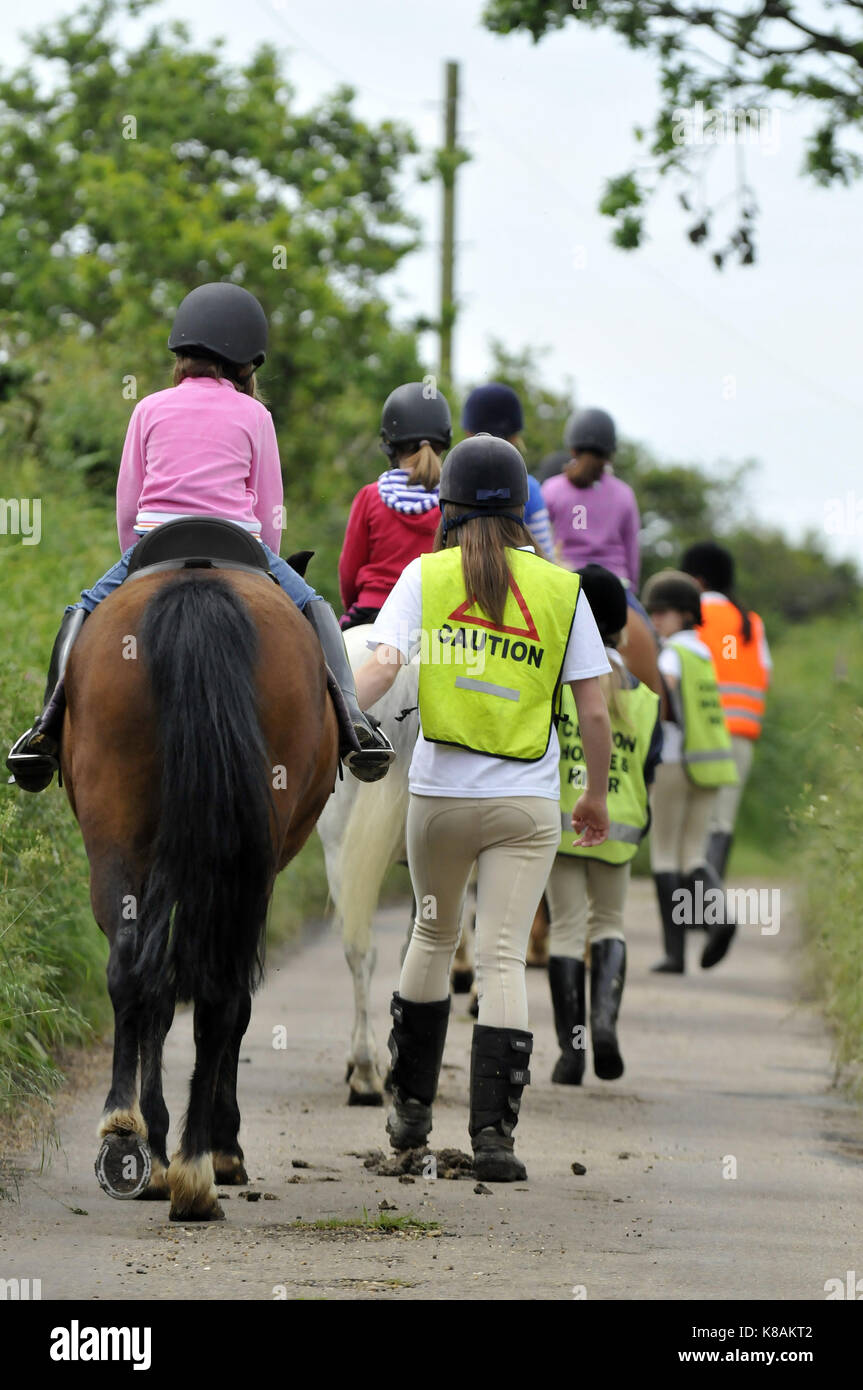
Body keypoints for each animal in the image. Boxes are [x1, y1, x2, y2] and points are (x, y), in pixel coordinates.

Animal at [62, 564, 337, 1217]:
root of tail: (197, 588)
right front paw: (221, 1148)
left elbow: (160, 997)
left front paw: (159, 1142)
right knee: (211, 990)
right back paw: (190, 1167)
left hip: (118, 829)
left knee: (135, 969)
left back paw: (133, 1138)